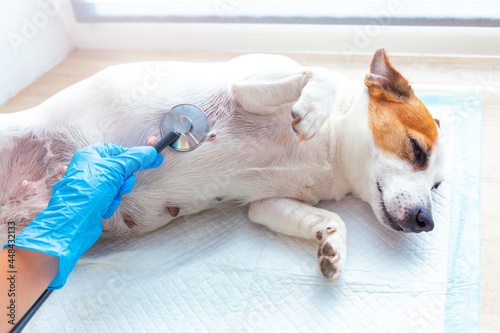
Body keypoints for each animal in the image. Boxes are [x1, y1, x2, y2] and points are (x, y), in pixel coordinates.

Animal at [0, 47, 444, 280]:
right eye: (416, 149)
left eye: (437, 187)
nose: (427, 222)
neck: (332, 152)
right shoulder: (245, 88)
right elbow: (320, 75)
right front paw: (313, 109)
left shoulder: (267, 206)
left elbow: (330, 220)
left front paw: (332, 245)